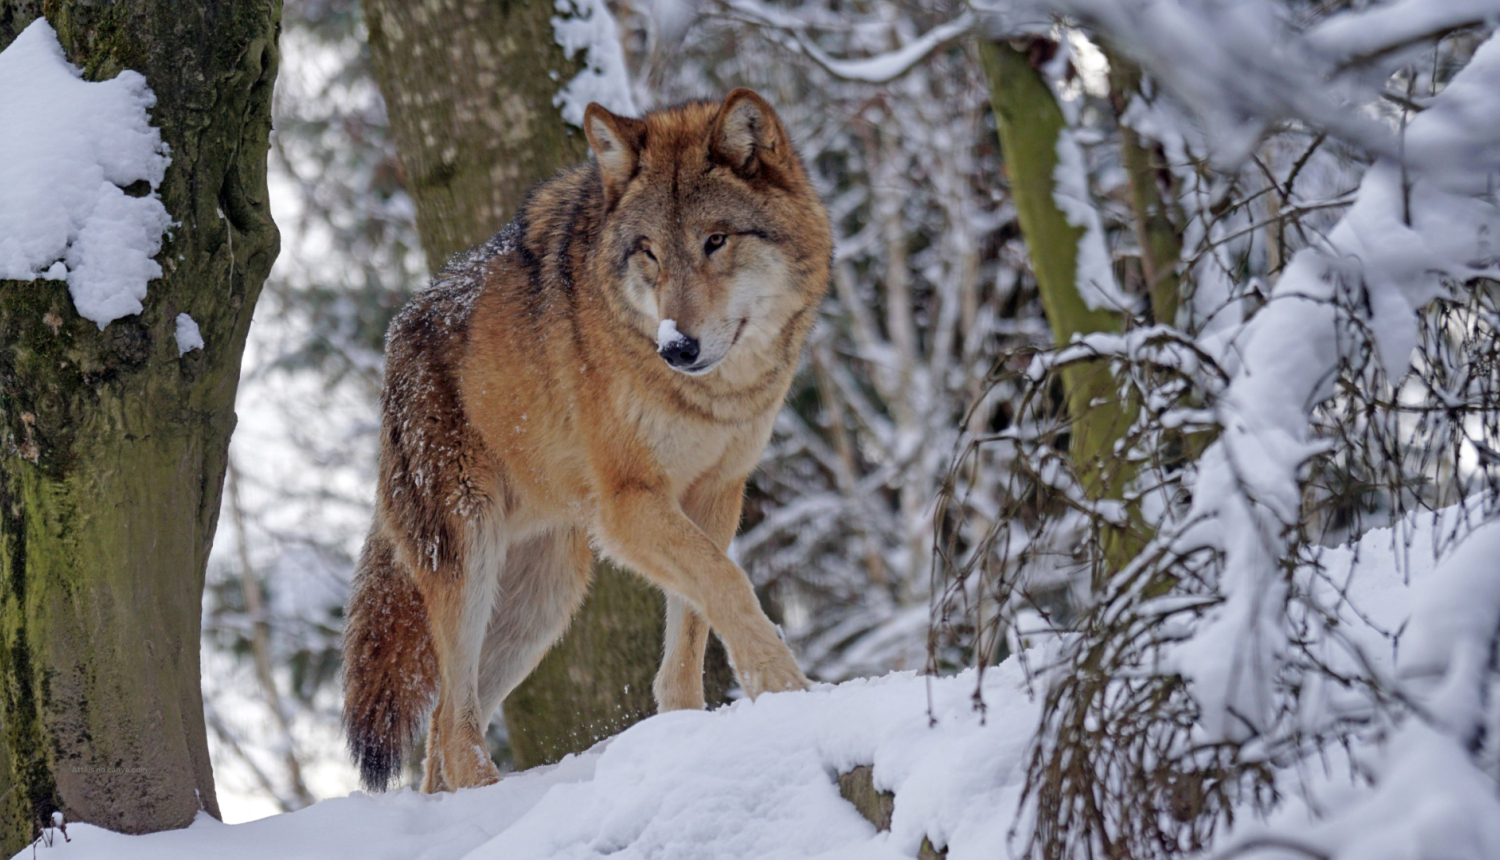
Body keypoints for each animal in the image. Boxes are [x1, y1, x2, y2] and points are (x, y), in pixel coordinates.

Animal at [339, 88, 834, 792]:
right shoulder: (629, 504)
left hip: (544, 600)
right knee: (453, 726)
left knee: (440, 731)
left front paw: (689, 732)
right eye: (648, 251)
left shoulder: (716, 494)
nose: (677, 347)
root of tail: (396, 339)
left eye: (716, 240)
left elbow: (694, 625)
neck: (712, 398)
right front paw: (786, 689)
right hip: (471, 559)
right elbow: (729, 584)